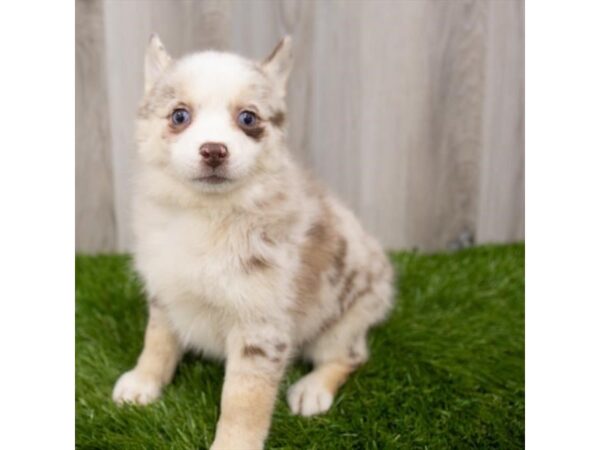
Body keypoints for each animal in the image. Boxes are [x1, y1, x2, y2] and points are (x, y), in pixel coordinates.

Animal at [112, 33, 394, 448]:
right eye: (179, 116)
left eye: (248, 118)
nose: (214, 150)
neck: (208, 216)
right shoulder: (165, 291)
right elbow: (158, 341)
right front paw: (143, 381)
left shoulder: (260, 326)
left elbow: (243, 399)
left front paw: (233, 444)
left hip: (346, 321)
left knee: (351, 356)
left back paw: (313, 389)